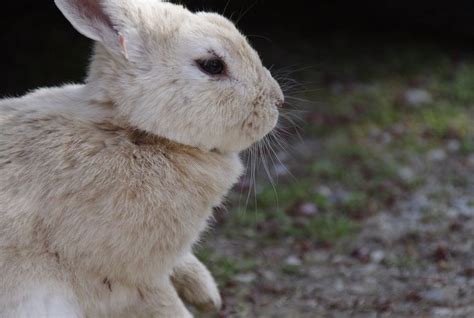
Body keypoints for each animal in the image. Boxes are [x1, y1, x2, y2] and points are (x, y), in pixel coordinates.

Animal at [0, 0, 282, 318]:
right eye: (212, 65)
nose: (278, 100)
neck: (136, 133)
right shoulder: (131, 278)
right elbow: (165, 304)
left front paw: (208, 295)